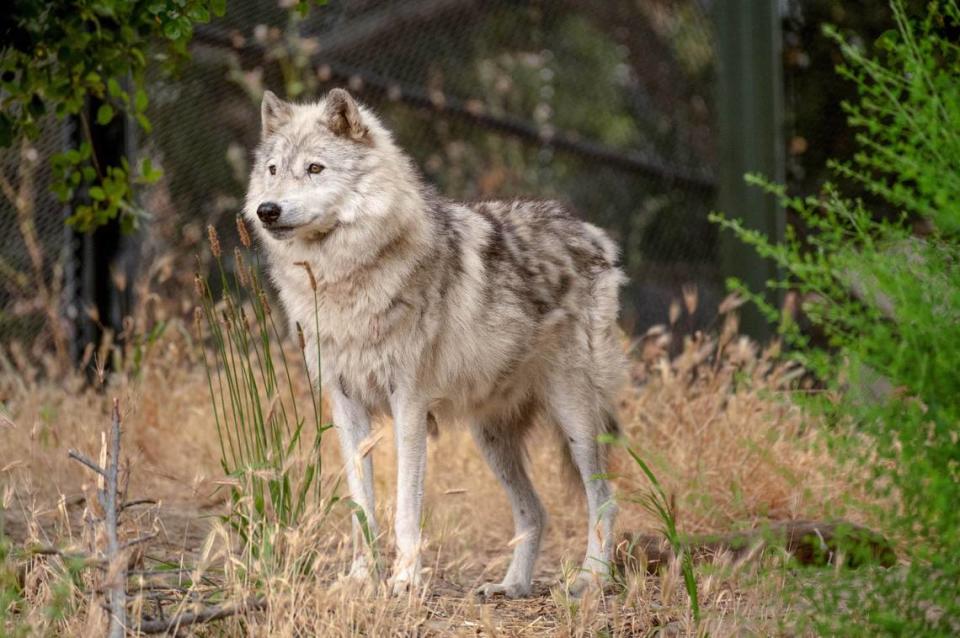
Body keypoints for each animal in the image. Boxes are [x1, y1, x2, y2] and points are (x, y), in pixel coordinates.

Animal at [244, 89, 628, 600]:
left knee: (604, 500)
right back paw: (511, 586)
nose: (267, 210)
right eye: (272, 169)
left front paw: (404, 580)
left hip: (576, 420)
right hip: (491, 437)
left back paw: (591, 579)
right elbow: (361, 508)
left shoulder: (409, 404)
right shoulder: (345, 406)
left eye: (315, 168)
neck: (344, 278)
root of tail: (591, 233)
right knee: (535, 510)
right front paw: (361, 579)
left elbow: (407, 507)